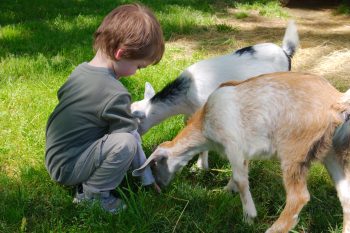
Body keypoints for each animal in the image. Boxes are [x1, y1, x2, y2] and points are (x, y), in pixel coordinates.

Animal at [133, 72, 350, 233]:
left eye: (154, 164)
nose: (160, 188)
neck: (205, 122)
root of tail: (336, 101)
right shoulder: (242, 153)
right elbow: (240, 174)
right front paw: (226, 191)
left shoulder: (233, 143)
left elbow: (240, 178)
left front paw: (249, 216)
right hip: (332, 152)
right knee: (346, 195)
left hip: (294, 149)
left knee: (299, 197)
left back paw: (272, 229)